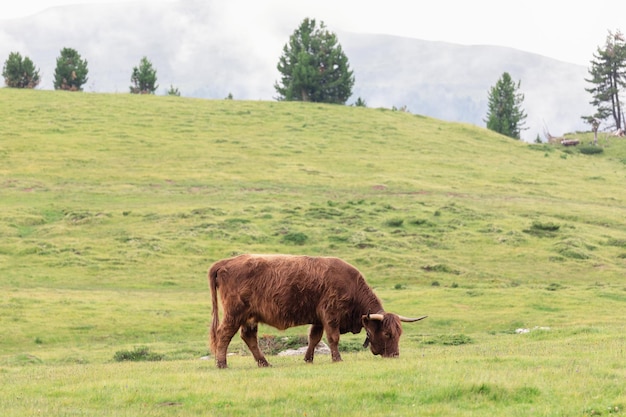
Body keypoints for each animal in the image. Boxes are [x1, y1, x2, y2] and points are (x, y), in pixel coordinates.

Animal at [208, 254, 424, 368]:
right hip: (235, 313)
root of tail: (225, 263)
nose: (395, 355)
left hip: (250, 317)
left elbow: (314, 338)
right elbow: (333, 338)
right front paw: (337, 359)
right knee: (224, 334)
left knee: (249, 337)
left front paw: (308, 359)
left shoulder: (318, 319)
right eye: (387, 333)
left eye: (399, 333)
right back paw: (222, 363)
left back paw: (264, 363)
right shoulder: (330, 315)